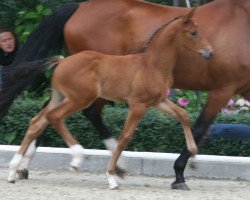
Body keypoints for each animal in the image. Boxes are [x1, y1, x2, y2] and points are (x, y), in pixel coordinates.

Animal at [0, 0, 250, 191]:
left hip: (68, 96)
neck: (152, 62)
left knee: (40, 118)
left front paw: (192, 158)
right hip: (83, 97)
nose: (210, 53)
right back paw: (81, 159)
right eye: (194, 32)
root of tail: (61, 61)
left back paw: (18, 168)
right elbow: (128, 136)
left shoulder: (158, 101)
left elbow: (184, 115)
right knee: (63, 116)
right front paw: (179, 174)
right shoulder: (218, 90)